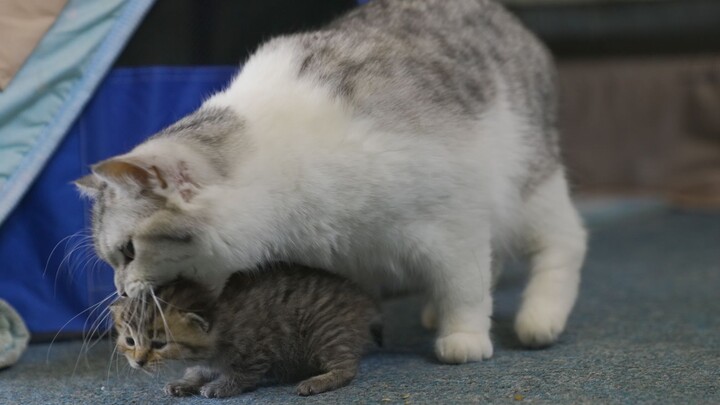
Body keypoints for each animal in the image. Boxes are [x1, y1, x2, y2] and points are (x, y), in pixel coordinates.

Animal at [77, 0, 584, 362]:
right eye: (114, 259)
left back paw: (540, 317)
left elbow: (464, 286)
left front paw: (463, 336)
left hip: (527, 186)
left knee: (566, 241)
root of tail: (506, 17)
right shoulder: (341, 258)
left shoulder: (453, 223)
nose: (119, 291)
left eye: (129, 252)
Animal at [111, 262, 382, 398]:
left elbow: (243, 373)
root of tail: (363, 299)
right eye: (130, 341)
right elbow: (198, 370)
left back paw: (319, 380)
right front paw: (186, 381)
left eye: (158, 344)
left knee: (347, 367)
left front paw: (221, 386)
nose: (138, 363)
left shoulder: (260, 346)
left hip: (325, 331)